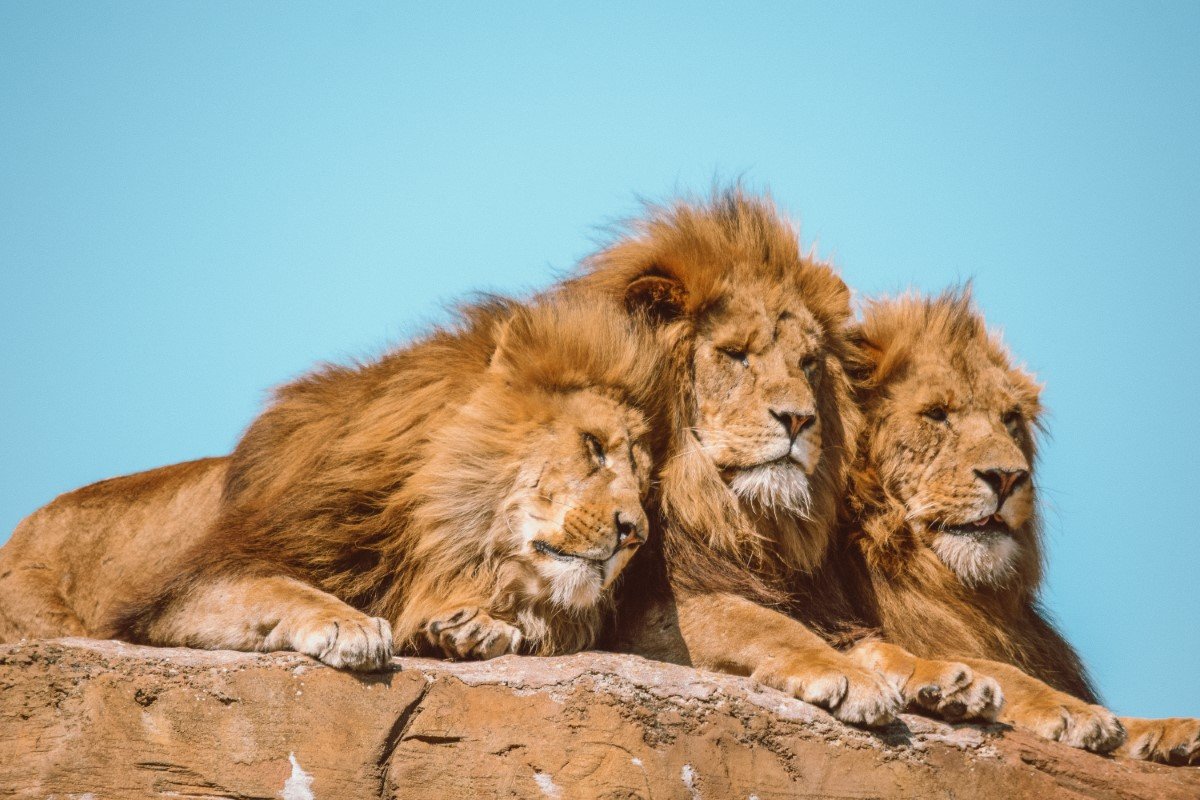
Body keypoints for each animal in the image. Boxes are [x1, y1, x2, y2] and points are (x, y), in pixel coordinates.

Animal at [4, 296, 667, 669]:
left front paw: (477, 626)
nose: (635, 534)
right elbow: (277, 590)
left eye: (642, 478)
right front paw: (351, 625)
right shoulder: (179, 592)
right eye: (592, 446)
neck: (435, 532)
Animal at [571, 191, 1001, 727]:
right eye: (736, 354)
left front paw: (945, 677)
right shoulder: (648, 612)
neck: (724, 511)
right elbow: (764, 623)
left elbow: (877, 644)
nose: (798, 419)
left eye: (807, 363)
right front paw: (848, 676)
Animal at [838, 288, 1199, 764]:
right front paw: (1071, 711)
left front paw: (1171, 731)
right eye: (936, 414)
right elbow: (1001, 671)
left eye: (1009, 418)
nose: (1007, 477)